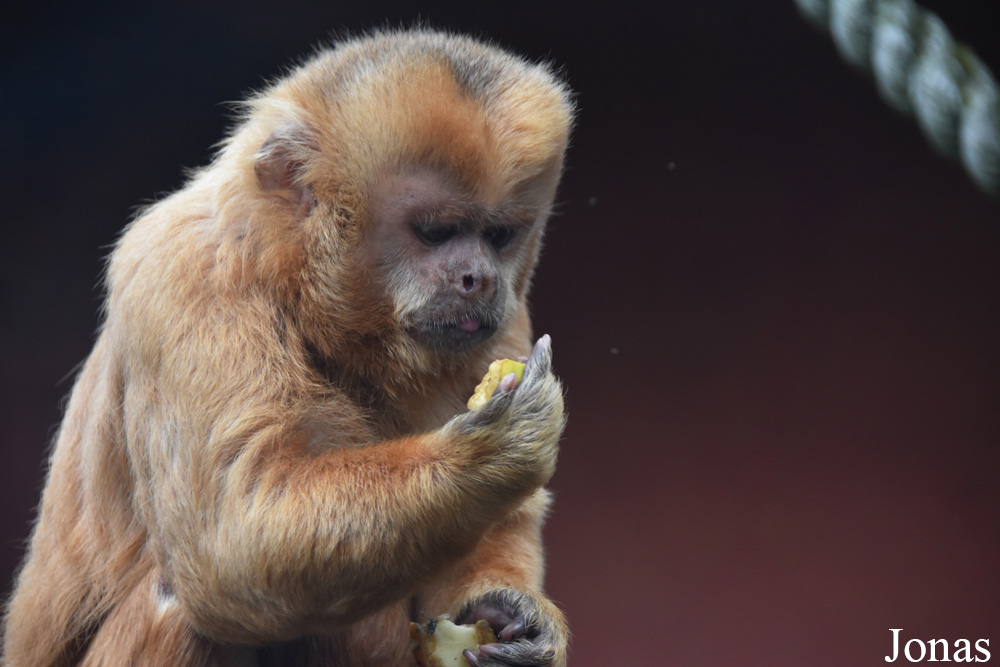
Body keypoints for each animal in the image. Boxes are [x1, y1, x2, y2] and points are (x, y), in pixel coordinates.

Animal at [1, 30, 572, 667]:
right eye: (435, 233)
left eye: (497, 237)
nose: (479, 278)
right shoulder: (187, 273)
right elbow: (231, 547)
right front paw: (489, 453)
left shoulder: (506, 318)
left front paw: (512, 613)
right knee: (176, 600)